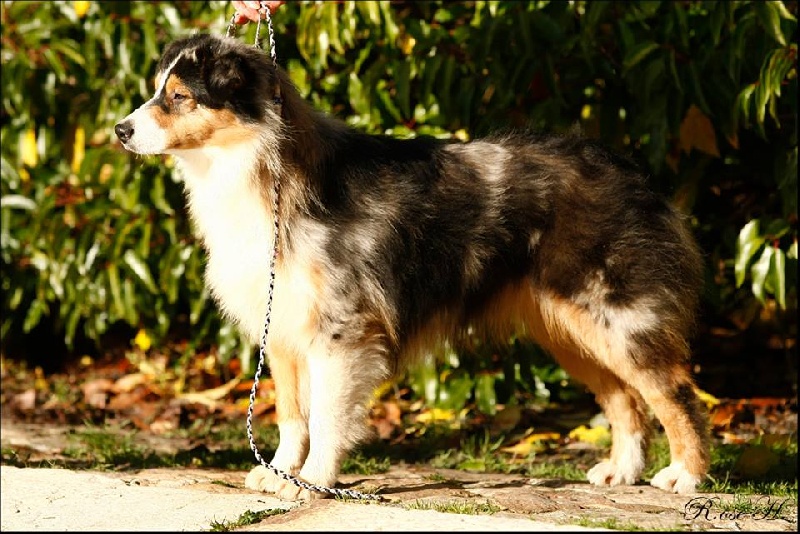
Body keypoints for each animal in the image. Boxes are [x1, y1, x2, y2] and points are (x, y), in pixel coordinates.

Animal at [115, 33, 709, 500]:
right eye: (157, 89)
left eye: (180, 97)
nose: (120, 130)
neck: (261, 168)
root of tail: (632, 173)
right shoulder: (281, 324)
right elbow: (289, 413)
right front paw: (281, 473)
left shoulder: (341, 329)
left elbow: (326, 416)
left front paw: (312, 480)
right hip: (569, 329)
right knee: (624, 397)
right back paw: (623, 472)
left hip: (616, 314)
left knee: (672, 390)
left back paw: (686, 476)